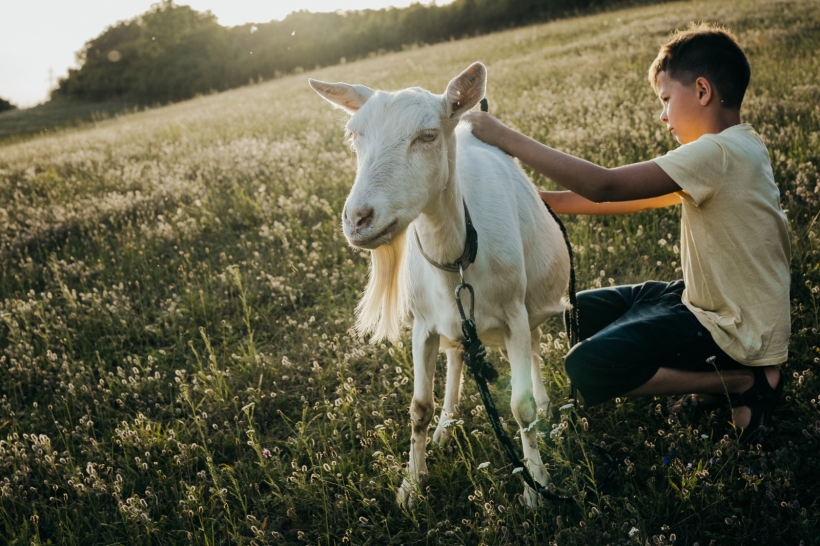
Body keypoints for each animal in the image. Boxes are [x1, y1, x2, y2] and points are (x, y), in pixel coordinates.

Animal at [310, 61, 572, 508]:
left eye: (427, 135)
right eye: (353, 135)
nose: (359, 219)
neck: (458, 258)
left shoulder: (514, 315)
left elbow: (520, 408)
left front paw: (536, 486)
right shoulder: (424, 325)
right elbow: (418, 406)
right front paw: (411, 486)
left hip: (530, 308)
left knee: (535, 349)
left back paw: (545, 405)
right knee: (459, 356)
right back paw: (445, 428)